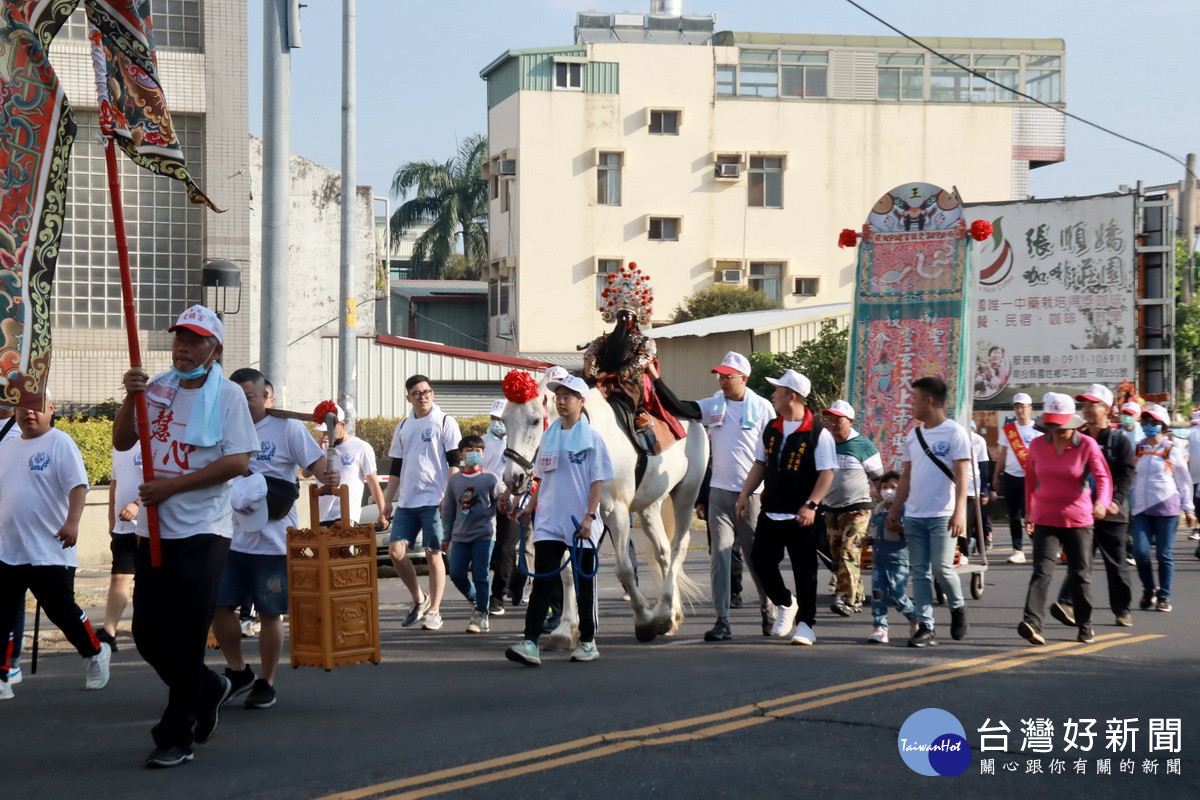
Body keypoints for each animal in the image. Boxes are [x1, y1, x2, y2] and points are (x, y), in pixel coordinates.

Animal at [501, 381, 705, 642]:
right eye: (504, 421)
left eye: (535, 420)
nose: (513, 478)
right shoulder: (563, 516)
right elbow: (568, 572)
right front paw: (566, 628)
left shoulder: (617, 513)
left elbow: (624, 569)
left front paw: (644, 620)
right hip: (650, 505)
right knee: (663, 551)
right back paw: (670, 614)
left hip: (687, 492)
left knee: (679, 546)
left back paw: (663, 613)